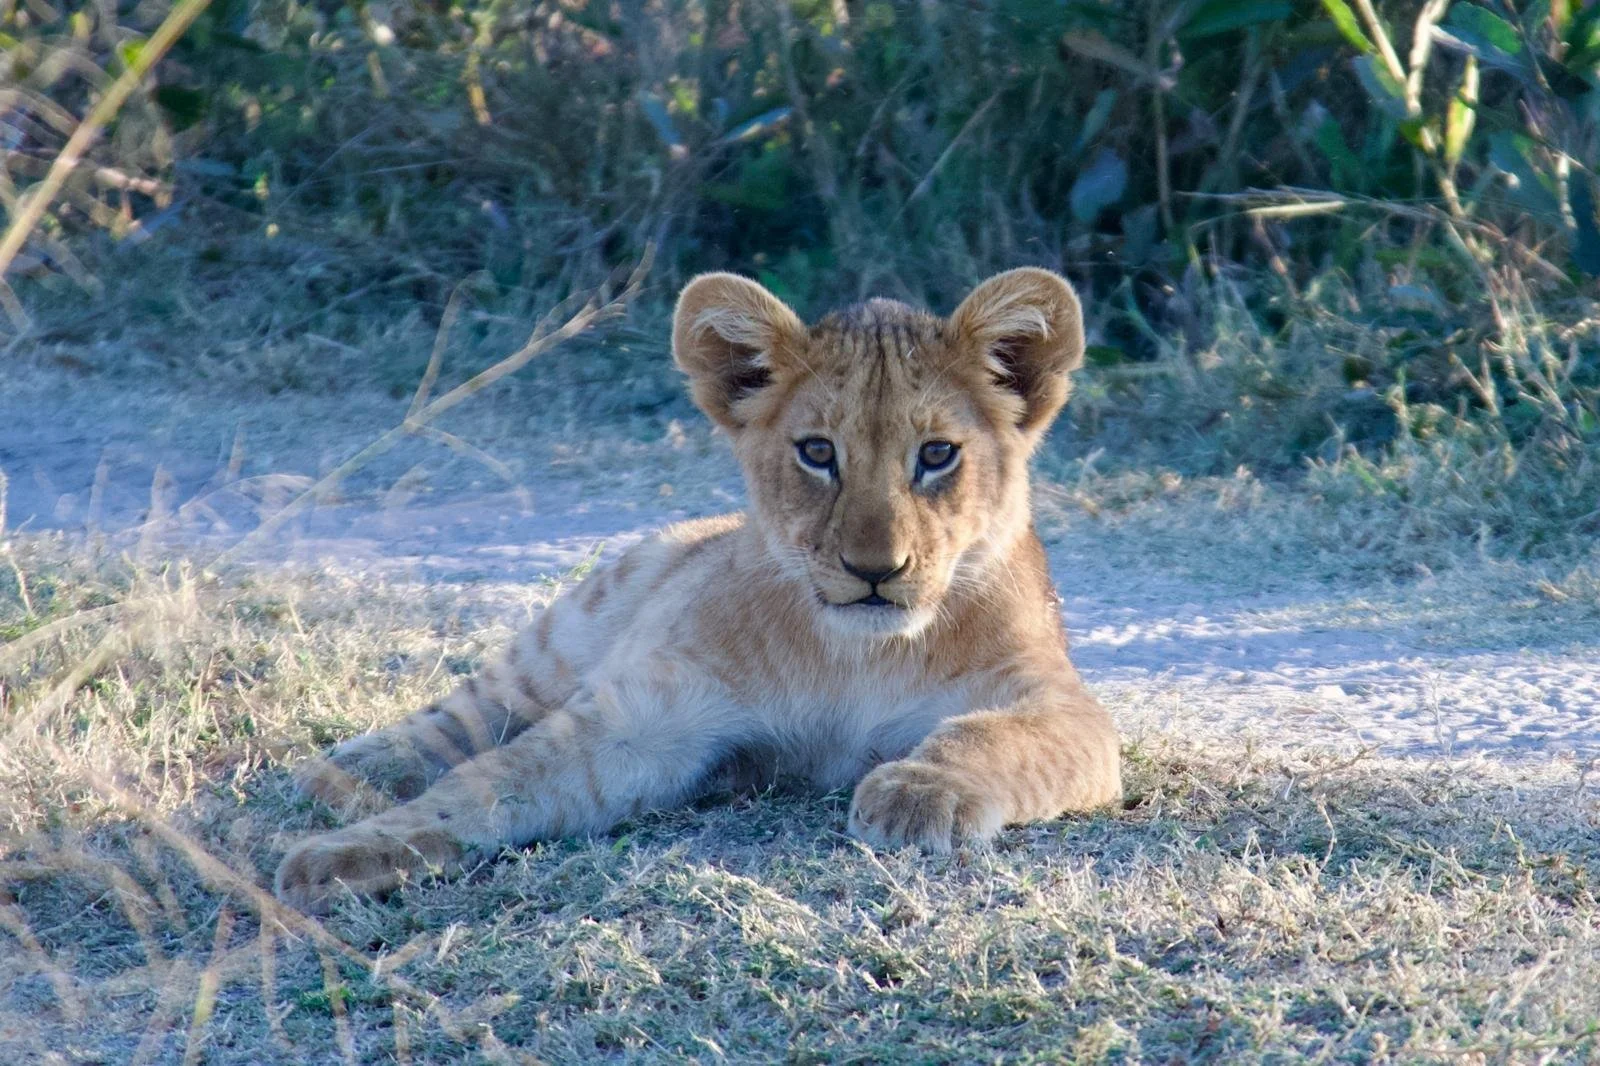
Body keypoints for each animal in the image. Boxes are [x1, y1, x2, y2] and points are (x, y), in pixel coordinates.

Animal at [274, 267, 1122, 913]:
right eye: (818, 453)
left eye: (938, 455)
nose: (874, 569)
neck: (858, 656)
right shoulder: (648, 713)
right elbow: (491, 779)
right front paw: (346, 853)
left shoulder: (1066, 708)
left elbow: (990, 735)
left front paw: (919, 791)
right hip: (569, 632)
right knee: (470, 714)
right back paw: (350, 771)